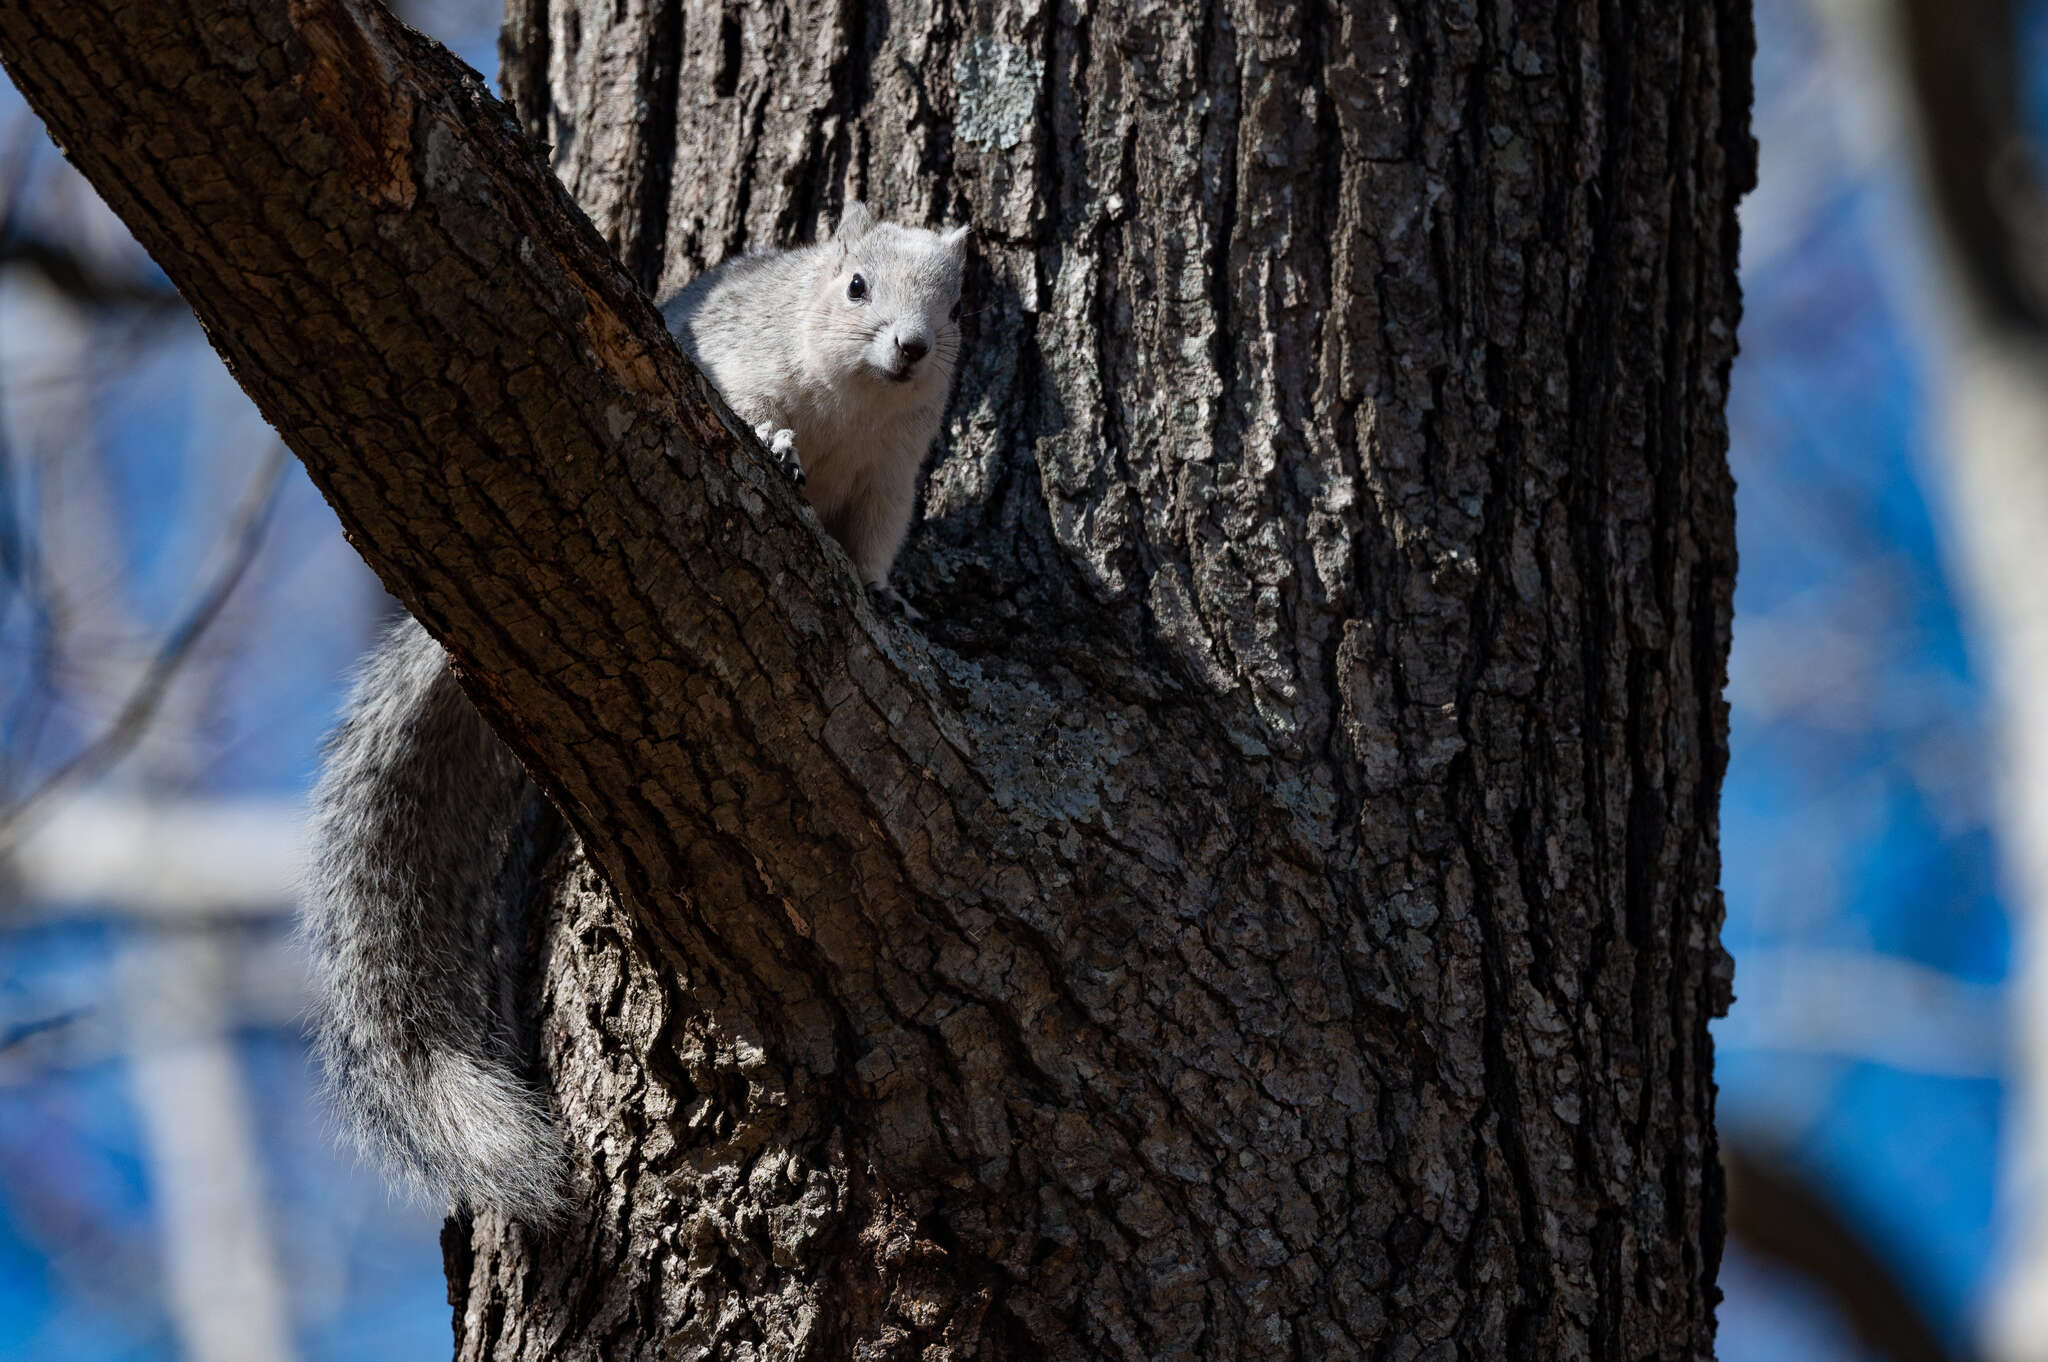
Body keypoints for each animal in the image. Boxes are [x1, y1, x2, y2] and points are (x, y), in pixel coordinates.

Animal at [303, 201, 966, 1212]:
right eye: (855, 286)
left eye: (955, 304)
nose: (911, 347)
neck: (855, 402)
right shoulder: (740, 357)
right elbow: (751, 408)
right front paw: (776, 446)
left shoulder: (892, 475)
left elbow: (873, 547)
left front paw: (882, 595)